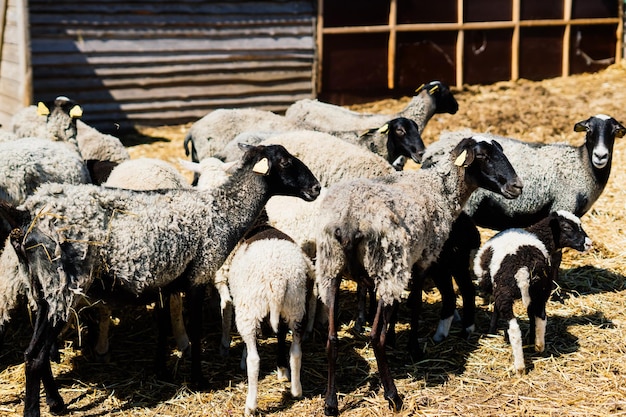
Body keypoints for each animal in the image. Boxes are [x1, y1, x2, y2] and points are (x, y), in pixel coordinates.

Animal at [0, 143, 320, 416]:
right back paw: (38, 409)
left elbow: (164, 324)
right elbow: (194, 328)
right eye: (285, 161)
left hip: (43, 290)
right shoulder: (198, 275)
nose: (317, 188)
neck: (223, 211)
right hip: (64, 285)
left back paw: (56, 403)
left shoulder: (166, 281)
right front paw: (198, 379)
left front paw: (161, 369)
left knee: (34, 352)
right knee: (36, 356)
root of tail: (26, 219)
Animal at [314, 134, 520, 412]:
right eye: (483, 156)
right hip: (386, 265)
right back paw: (393, 396)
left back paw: (330, 403)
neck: (440, 189)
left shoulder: (405, 263)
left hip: (331, 269)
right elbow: (415, 304)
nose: (517, 186)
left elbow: (398, 309)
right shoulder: (423, 258)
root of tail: (348, 221)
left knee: (332, 339)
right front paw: (413, 348)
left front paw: (395, 337)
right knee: (374, 337)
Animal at [472, 211, 588, 374]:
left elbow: (495, 310)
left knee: (514, 328)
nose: (588, 243)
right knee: (540, 317)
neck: (537, 234)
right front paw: (530, 339)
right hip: (541, 290)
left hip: (504, 292)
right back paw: (538, 346)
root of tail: (523, 268)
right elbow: (530, 316)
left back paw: (520, 367)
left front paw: (491, 331)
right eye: (567, 227)